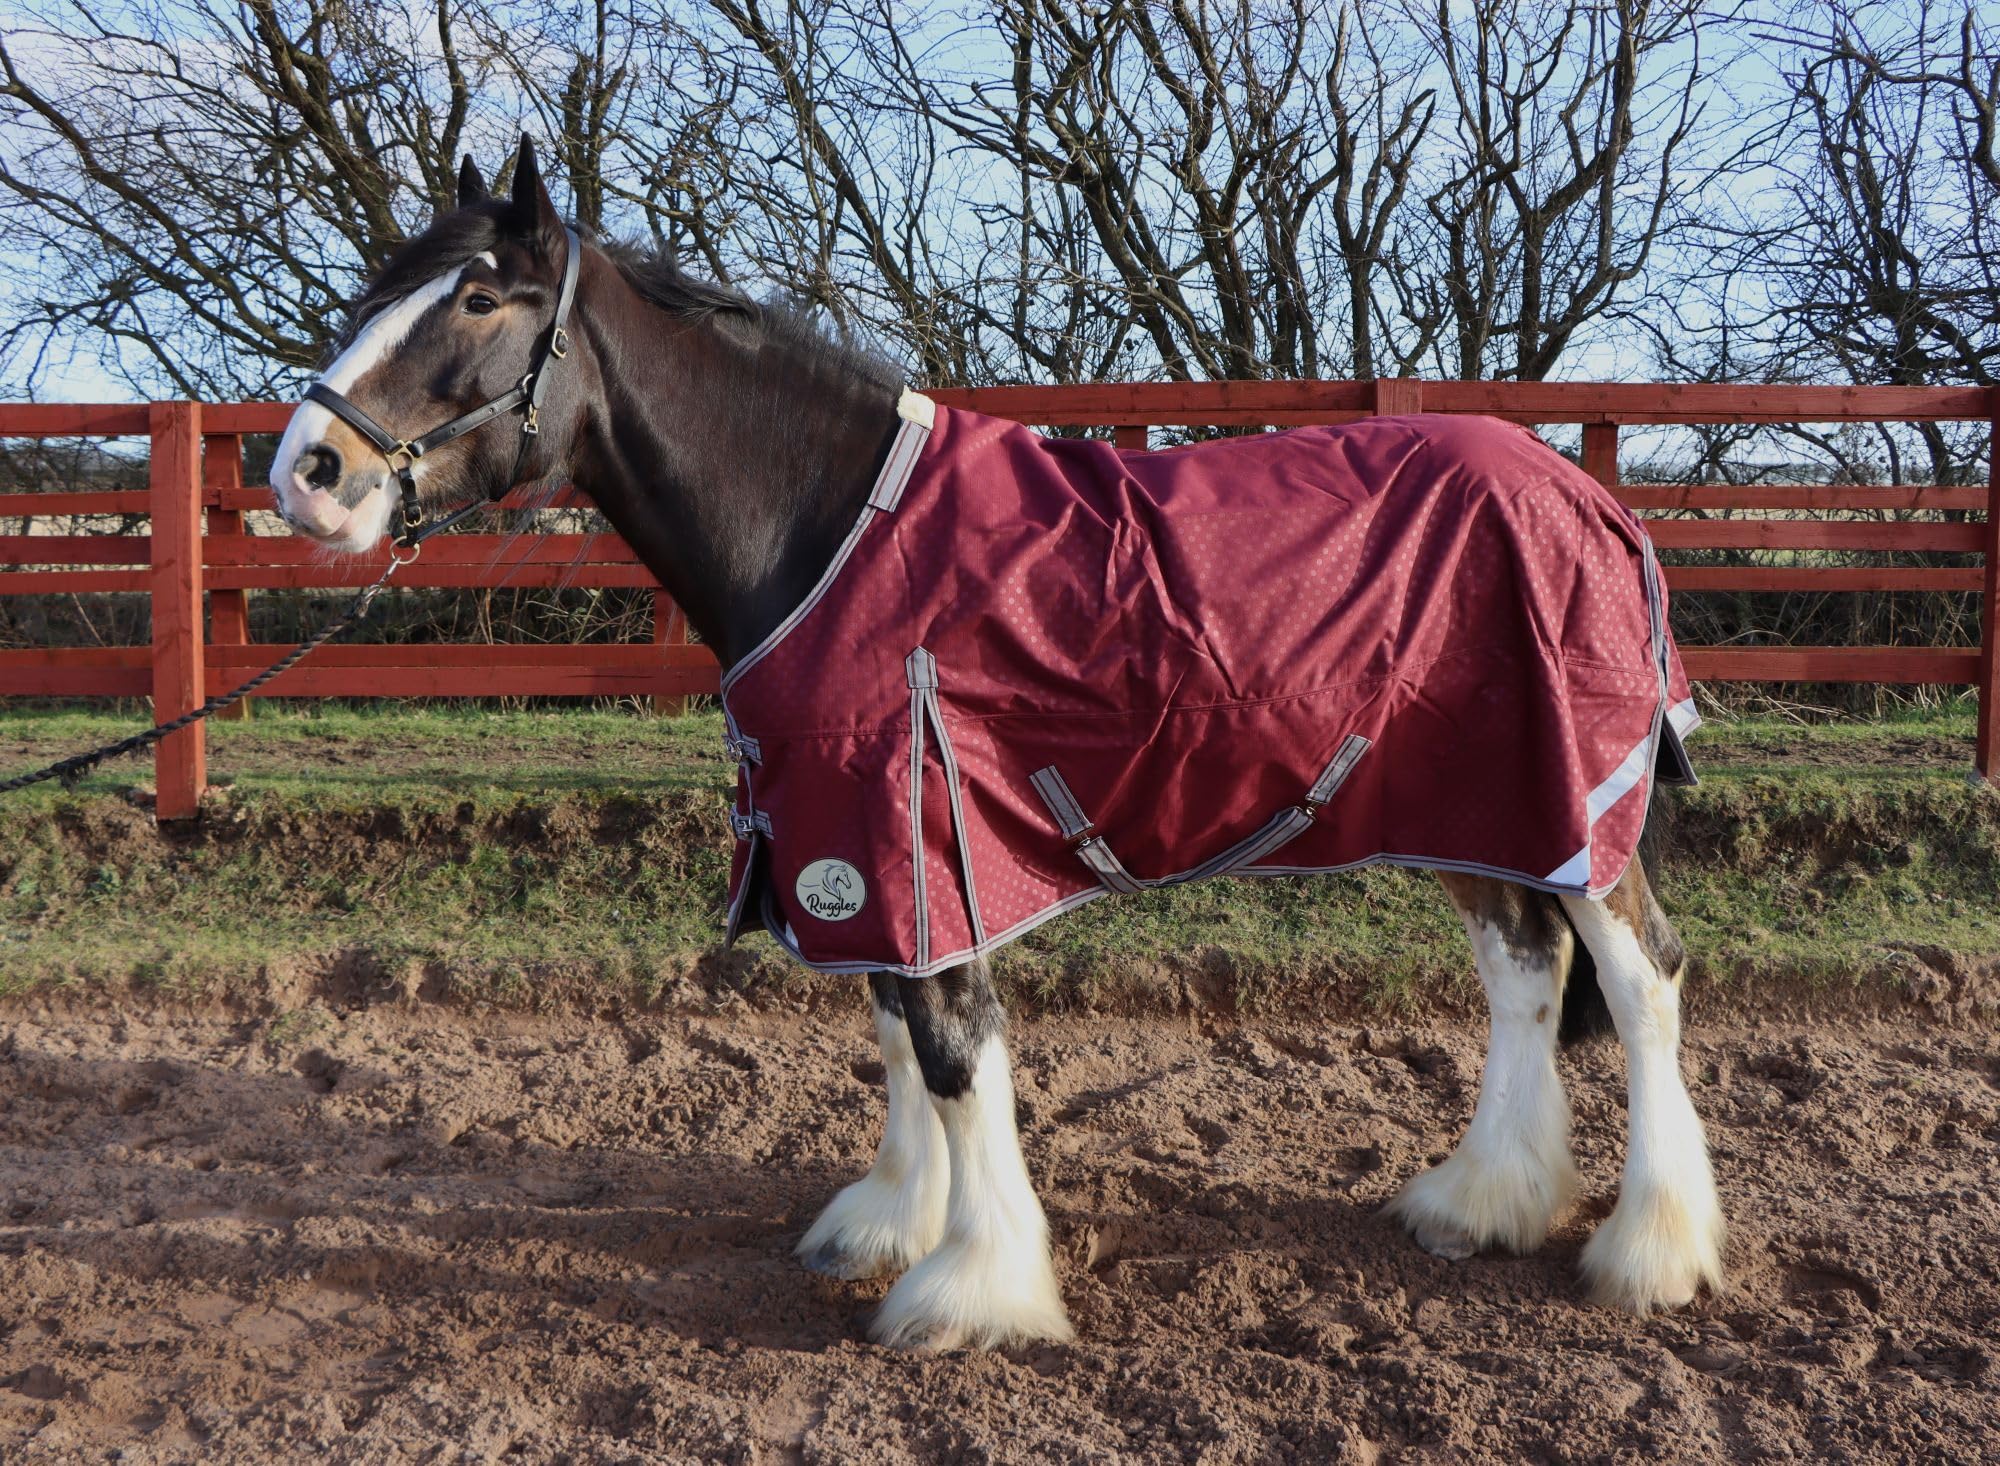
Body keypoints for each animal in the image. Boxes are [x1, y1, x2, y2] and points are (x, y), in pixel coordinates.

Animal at [268, 137, 1724, 1350]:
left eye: (477, 298)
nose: (306, 472)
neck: (826, 525)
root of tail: (1591, 496)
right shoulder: (854, 841)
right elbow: (894, 1025)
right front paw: (892, 1219)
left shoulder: (915, 825)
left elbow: (955, 1048)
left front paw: (972, 1289)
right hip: (1478, 806)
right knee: (1523, 969)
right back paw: (1481, 1200)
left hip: (1574, 813)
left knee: (1639, 976)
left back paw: (1650, 1249)